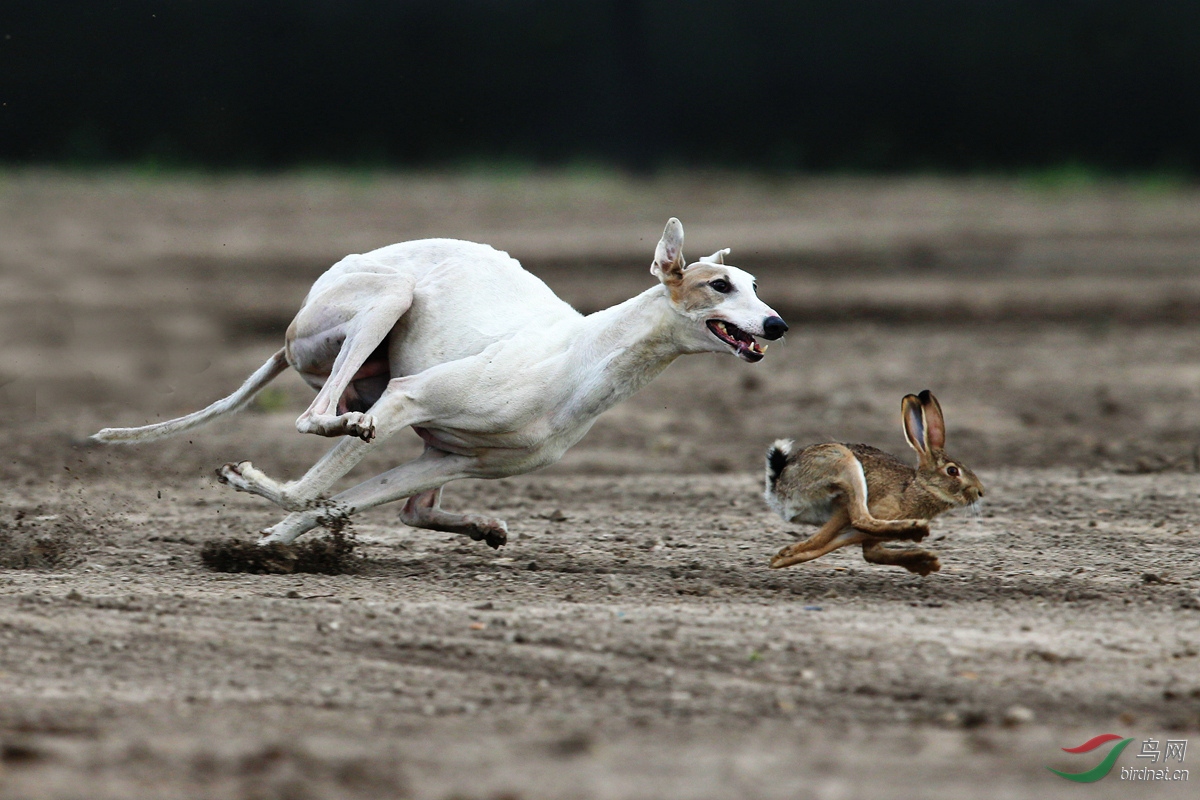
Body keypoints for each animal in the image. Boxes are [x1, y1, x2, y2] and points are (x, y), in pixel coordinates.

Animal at [93, 215, 787, 546]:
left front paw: (272, 542)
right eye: (719, 285)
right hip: (383, 302)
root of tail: (292, 327)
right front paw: (252, 492)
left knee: (406, 502)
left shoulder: (449, 459)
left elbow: (344, 503)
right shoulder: (409, 398)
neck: (583, 359)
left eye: (756, 284)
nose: (777, 324)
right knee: (317, 418)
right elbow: (306, 492)